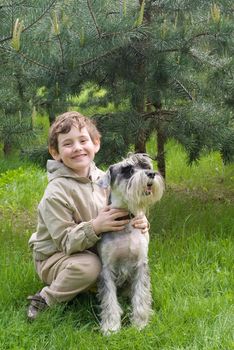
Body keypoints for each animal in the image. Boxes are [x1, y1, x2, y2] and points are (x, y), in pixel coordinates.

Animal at [96, 152, 164, 334]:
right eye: (127, 170)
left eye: (146, 166)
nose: (151, 174)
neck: (125, 220)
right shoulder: (107, 269)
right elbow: (109, 300)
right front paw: (111, 328)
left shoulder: (140, 265)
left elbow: (141, 296)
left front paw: (140, 324)